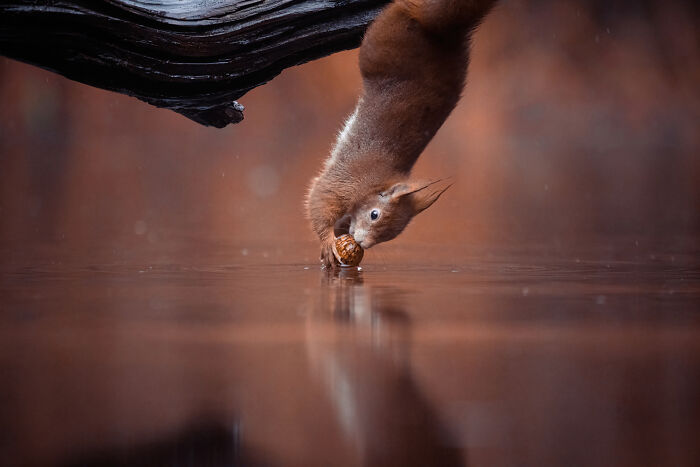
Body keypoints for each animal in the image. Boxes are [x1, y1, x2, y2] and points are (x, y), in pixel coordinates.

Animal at [306, 0, 497, 268]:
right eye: (374, 214)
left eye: (392, 234)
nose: (362, 243)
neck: (375, 182)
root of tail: (448, 33)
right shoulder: (344, 183)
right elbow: (320, 201)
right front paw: (327, 243)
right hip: (382, 40)